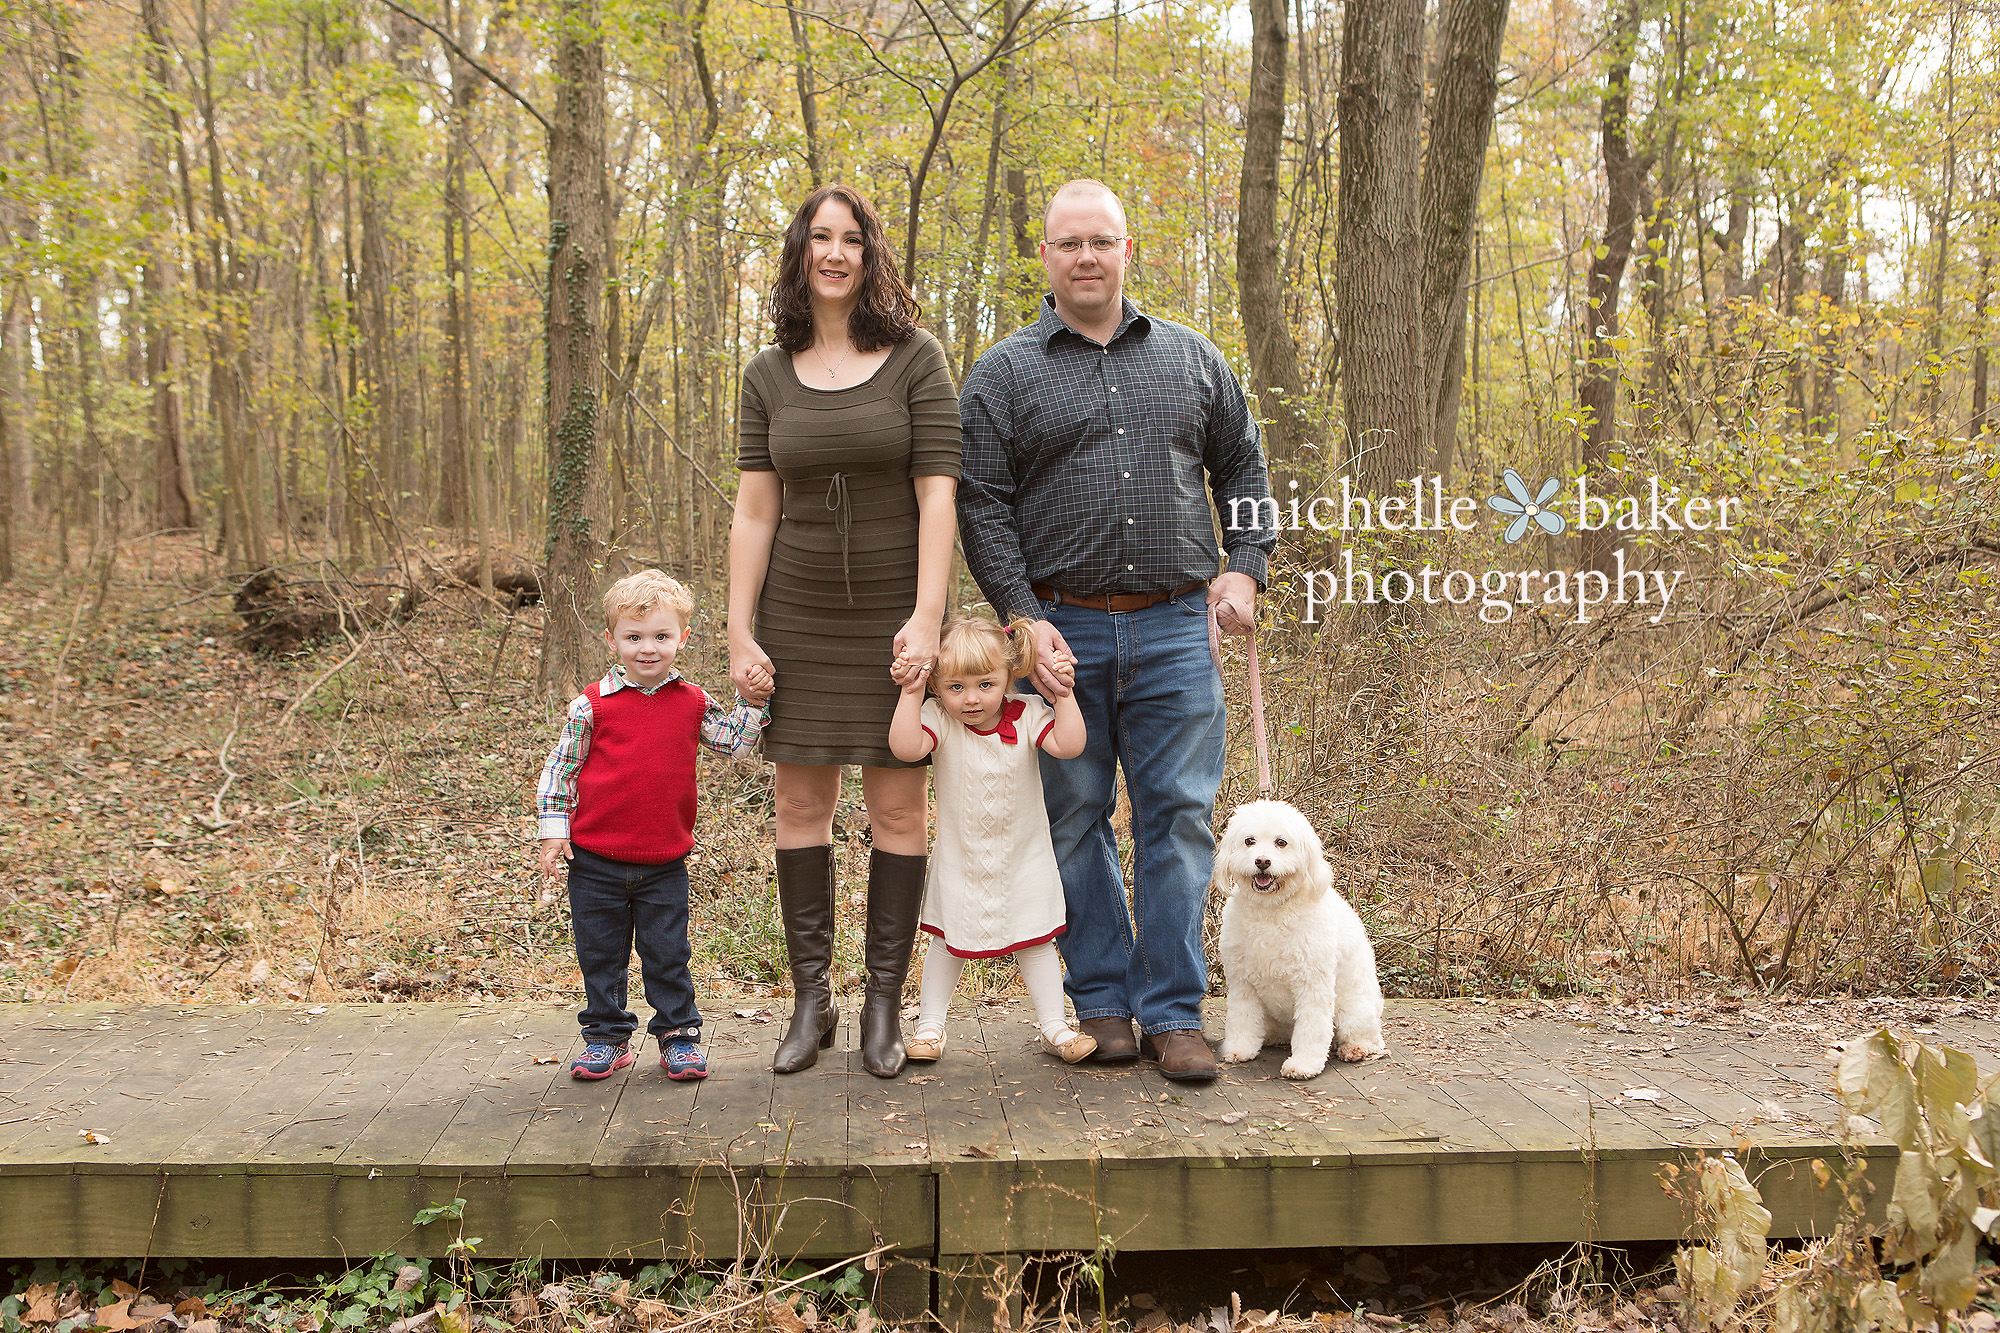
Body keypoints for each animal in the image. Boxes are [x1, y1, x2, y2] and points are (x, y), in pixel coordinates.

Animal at [1208, 792, 1384, 1072]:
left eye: (1281, 842)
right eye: (1249, 840)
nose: (1262, 861)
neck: (1271, 910)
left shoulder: (1312, 983)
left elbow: (1312, 1028)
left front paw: (1304, 1064)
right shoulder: (1242, 981)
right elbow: (1242, 1018)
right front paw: (1240, 1048)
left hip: (1353, 1010)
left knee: (1370, 1039)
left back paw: (1355, 1048)